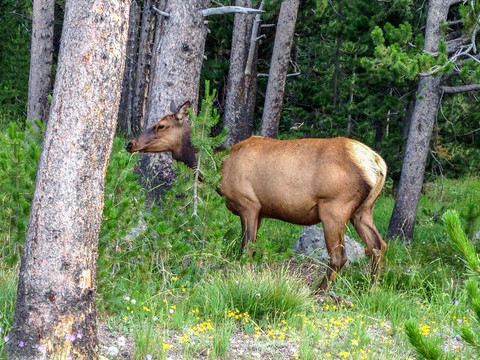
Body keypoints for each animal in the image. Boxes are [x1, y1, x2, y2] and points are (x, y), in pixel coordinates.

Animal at [125, 101, 388, 290]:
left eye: (160, 125)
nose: (130, 144)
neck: (220, 167)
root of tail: (378, 164)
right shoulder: (261, 210)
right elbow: (252, 248)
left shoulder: (248, 204)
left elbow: (246, 248)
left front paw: (240, 277)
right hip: (363, 210)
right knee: (378, 246)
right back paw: (372, 289)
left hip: (334, 208)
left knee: (339, 256)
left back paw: (318, 292)